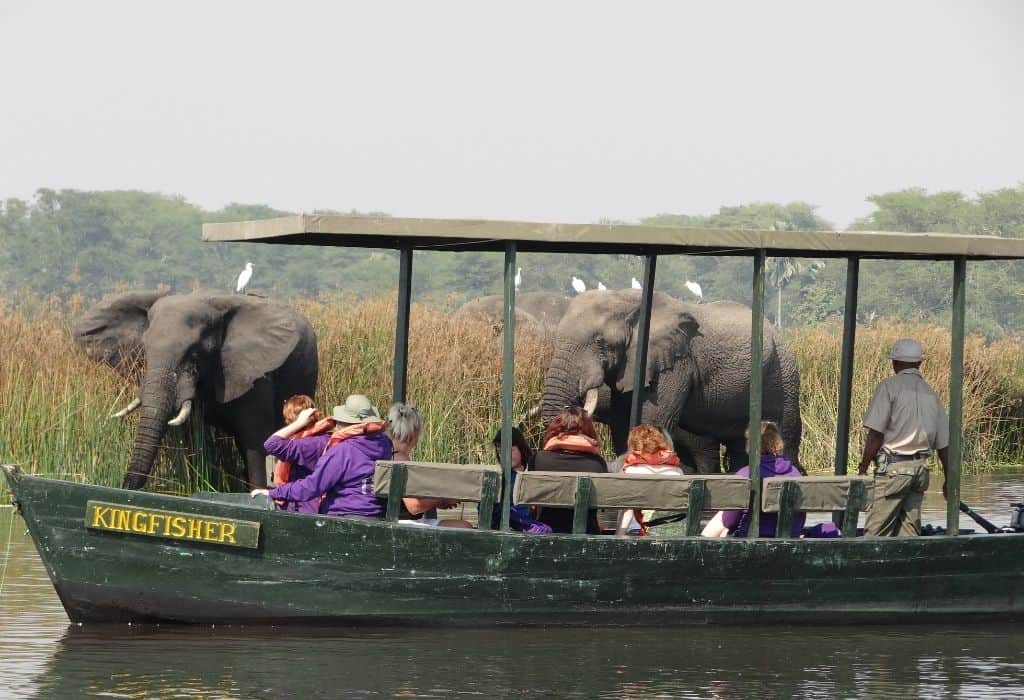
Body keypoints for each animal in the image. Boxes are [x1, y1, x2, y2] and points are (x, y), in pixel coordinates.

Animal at [73, 286, 315, 489]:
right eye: (144, 350)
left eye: (196, 354)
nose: (126, 487)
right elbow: (191, 438)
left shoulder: (254, 372)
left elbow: (256, 442)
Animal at [540, 286, 802, 472]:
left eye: (600, 342)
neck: (627, 300)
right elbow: (623, 423)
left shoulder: (673, 365)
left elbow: (652, 420)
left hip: (782, 377)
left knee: (783, 438)